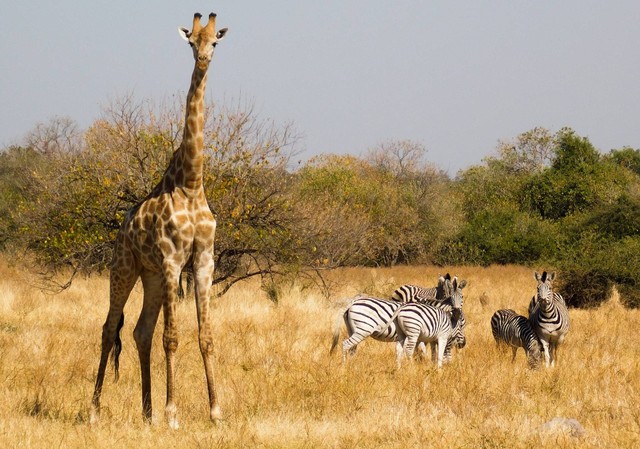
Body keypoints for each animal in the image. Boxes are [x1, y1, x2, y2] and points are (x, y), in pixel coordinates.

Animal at [89, 12, 229, 428]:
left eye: (215, 41)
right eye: (191, 42)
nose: (203, 59)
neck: (192, 183)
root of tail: (121, 229)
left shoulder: (203, 261)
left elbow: (205, 337)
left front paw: (216, 412)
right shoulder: (172, 260)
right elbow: (173, 337)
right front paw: (173, 414)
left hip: (149, 276)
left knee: (139, 331)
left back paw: (146, 412)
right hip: (124, 267)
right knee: (109, 328)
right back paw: (95, 411)